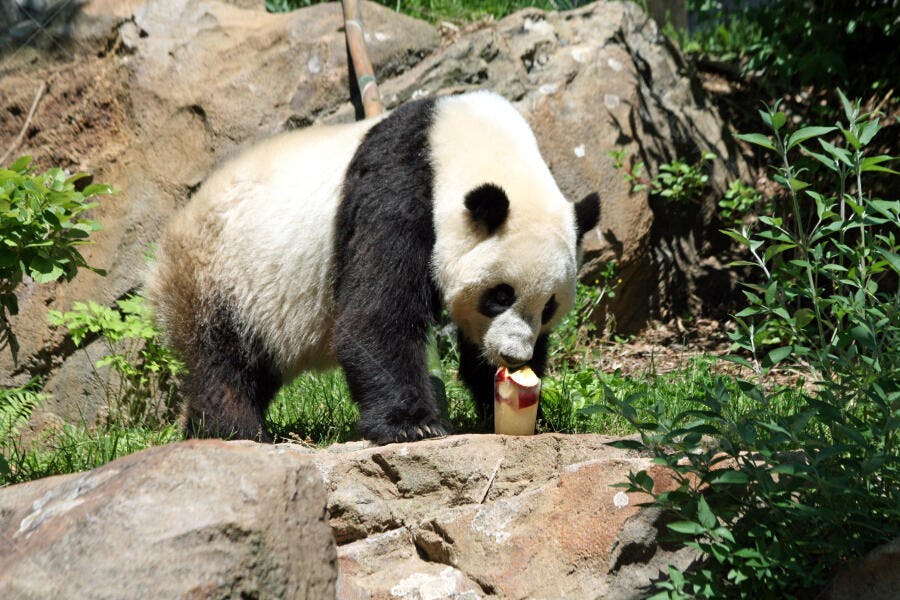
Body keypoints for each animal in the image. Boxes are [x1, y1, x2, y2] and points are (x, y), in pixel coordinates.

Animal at [146, 91, 599, 444]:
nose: (513, 356)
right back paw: (233, 430)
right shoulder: (397, 184)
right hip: (219, 273)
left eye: (549, 306)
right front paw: (412, 426)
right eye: (500, 295)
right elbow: (376, 312)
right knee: (224, 360)